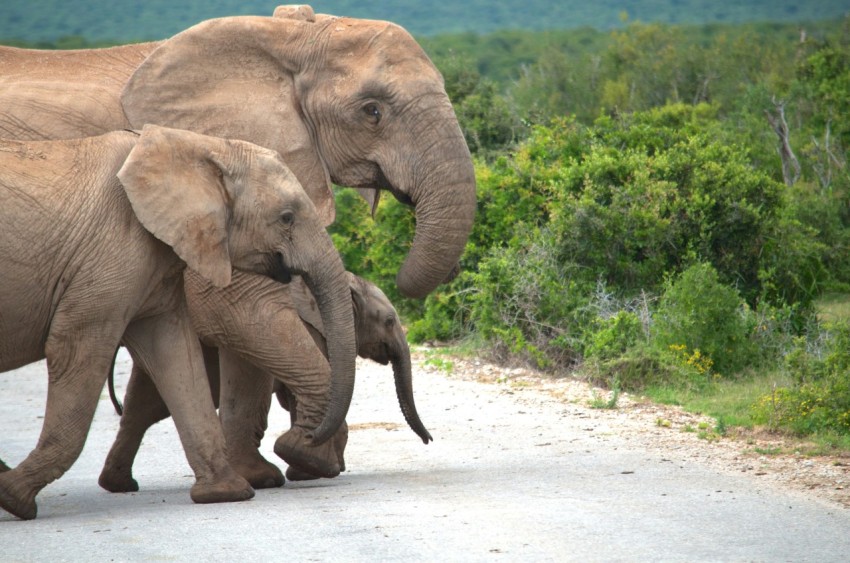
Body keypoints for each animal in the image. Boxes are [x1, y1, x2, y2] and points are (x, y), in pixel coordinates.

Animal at [0, 125, 354, 524]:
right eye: (287, 217)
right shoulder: (106, 260)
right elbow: (75, 350)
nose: (304, 439)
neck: (199, 146)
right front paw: (14, 499)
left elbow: (176, 357)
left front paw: (225, 493)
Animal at [101, 270, 430, 492]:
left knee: (143, 406)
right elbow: (298, 393)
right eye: (389, 321)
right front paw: (316, 468)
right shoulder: (311, 331)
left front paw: (307, 468)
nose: (429, 440)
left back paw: (118, 483)